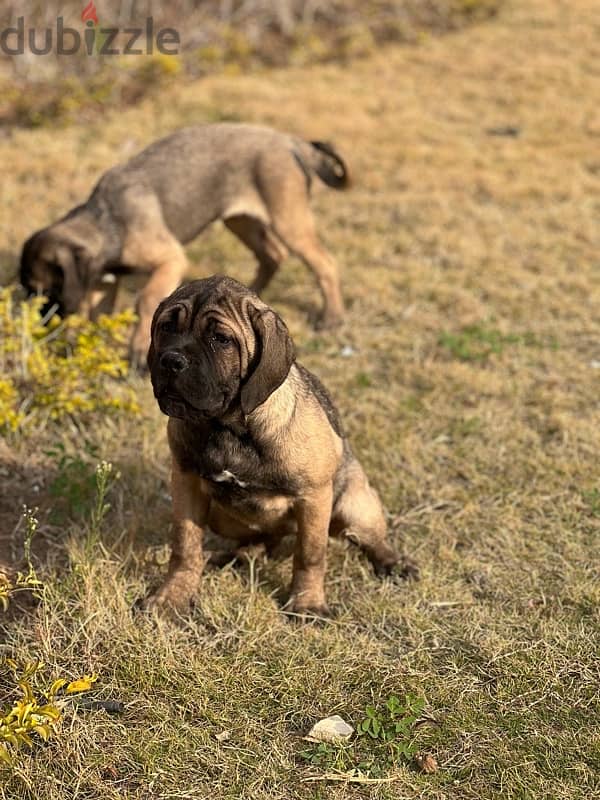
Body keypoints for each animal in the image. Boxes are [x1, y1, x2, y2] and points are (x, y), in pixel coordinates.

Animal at [21, 122, 350, 366]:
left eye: (45, 290)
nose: (41, 328)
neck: (107, 220)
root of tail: (292, 142)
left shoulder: (171, 260)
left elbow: (147, 298)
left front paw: (138, 349)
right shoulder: (104, 279)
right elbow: (100, 313)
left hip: (288, 220)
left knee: (325, 263)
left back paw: (332, 318)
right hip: (240, 220)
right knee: (272, 255)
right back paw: (248, 295)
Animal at [145, 276, 418, 620]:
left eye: (221, 339)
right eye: (166, 326)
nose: (171, 361)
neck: (228, 428)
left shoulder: (314, 497)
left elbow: (310, 554)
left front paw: (307, 603)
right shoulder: (186, 482)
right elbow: (184, 545)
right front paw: (173, 596)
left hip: (355, 504)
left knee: (371, 539)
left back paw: (394, 563)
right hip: (223, 517)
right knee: (263, 539)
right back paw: (237, 556)